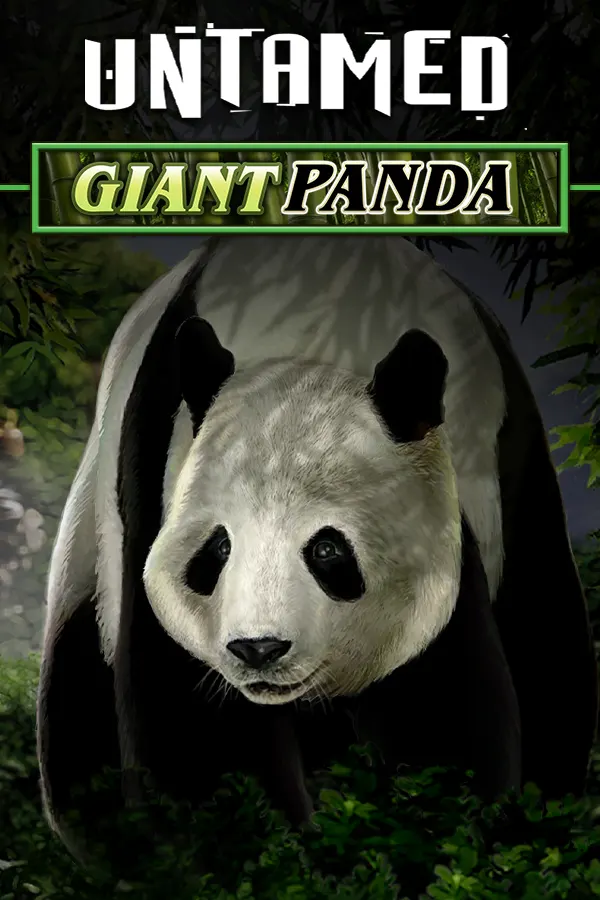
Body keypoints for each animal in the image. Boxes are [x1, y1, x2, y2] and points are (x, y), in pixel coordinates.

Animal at [37, 234, 598, 859]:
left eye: (327, 550)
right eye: (217, 549)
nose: (258, 649)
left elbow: (443, 697)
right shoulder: (157, 474)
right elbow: (193, 717)